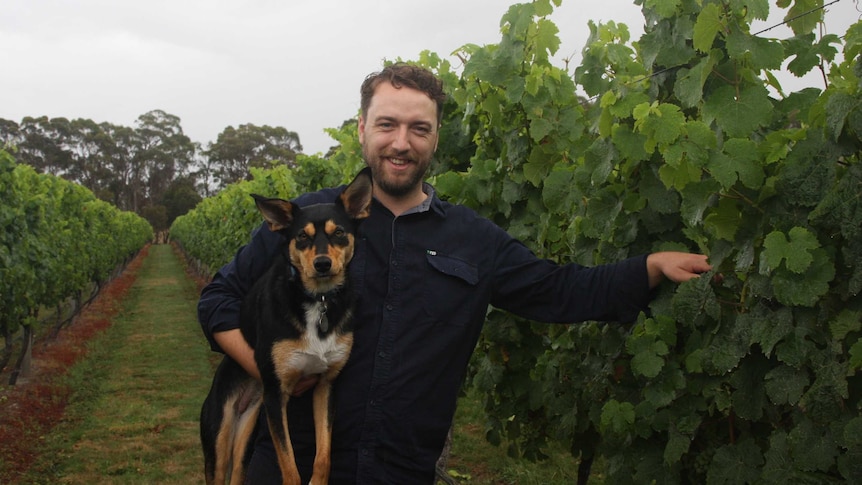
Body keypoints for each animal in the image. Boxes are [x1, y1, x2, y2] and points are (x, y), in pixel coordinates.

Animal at [201, 168, 372, 482]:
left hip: (249, 430)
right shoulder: (276, 396)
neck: (318, 300)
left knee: (239, 469)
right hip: (220, 435)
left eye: (339, 233)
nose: (322, 264)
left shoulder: (326, 386)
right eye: (302, 237)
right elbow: (289, 465)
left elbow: (324, 456)